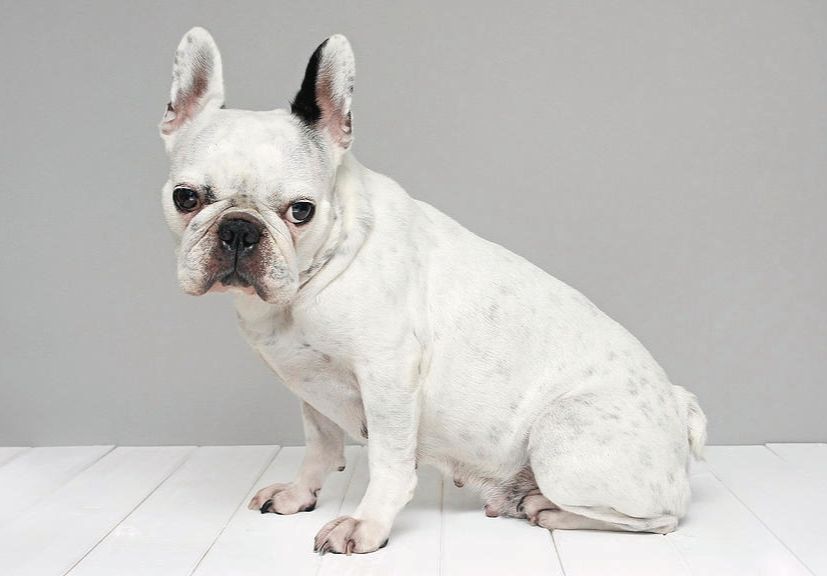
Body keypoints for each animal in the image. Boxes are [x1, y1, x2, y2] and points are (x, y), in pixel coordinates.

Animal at [160, 28, 704, 552]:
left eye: (301, 210)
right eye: (185, 198)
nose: (239, 229)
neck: (313, 278)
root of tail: (680, 409)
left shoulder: (387, 375)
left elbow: (389, 464)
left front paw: (367, 524)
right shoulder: (308, 387)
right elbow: (321, 446)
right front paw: (299, 493)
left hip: (560, 438)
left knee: (658, 521)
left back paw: (546, 508)